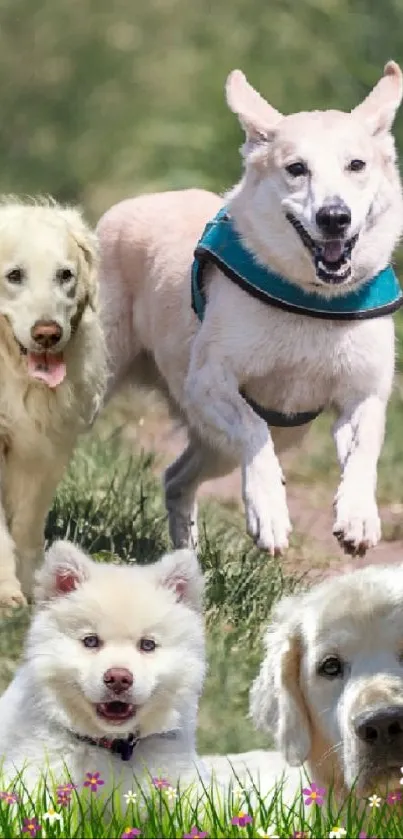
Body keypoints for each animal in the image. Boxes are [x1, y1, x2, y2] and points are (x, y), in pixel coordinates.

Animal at [0, 200, 106, 608]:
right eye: (14, 276)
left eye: (65, 275)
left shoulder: (46, 449)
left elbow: (27, 526)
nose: (48, 334)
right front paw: (7, 591)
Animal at [97, 60, 403, 556]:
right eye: (296, 169)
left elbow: (364, 449)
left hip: (233, 443)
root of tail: (125, 207)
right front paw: (270, 513)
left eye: (356, 165)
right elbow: (254, 430)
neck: (311, 300)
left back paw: (187, 558)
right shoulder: (209, 382)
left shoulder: (364, 393)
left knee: (177, 478)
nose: (334, 217)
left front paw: (358, 517)